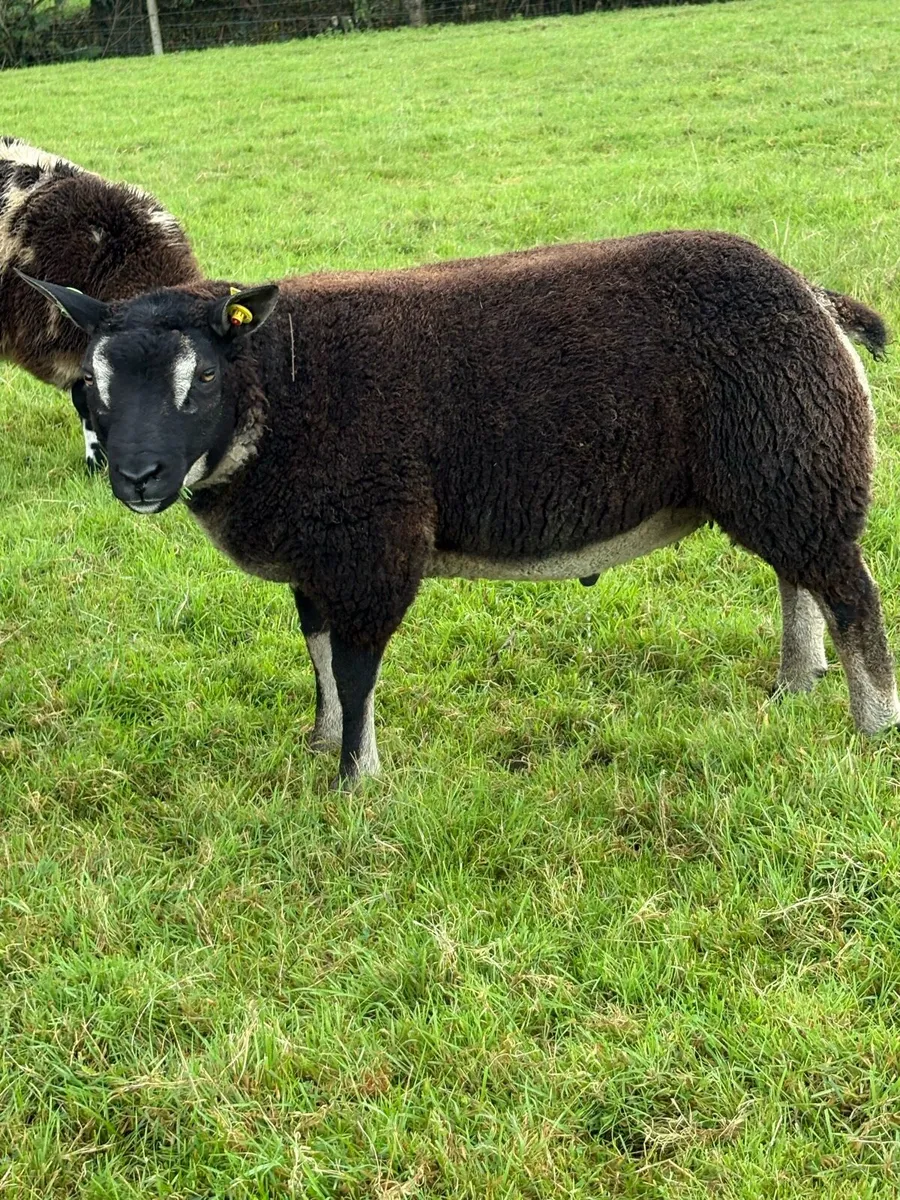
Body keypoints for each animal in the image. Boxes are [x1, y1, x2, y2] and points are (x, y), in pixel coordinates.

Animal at [17, 230, 897, 786]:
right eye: (89, 385)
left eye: (200, 377)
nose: (137, 477)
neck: (281, 388)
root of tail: (815, 297)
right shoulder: (316, 559)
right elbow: (319, 657)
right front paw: (321, 744)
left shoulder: (371, 547)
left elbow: (355, 669)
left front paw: (357, 781)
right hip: (775, 471)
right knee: (797, 578)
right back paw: (795, 683)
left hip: (797, 456)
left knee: (851, 595)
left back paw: (872, 724)